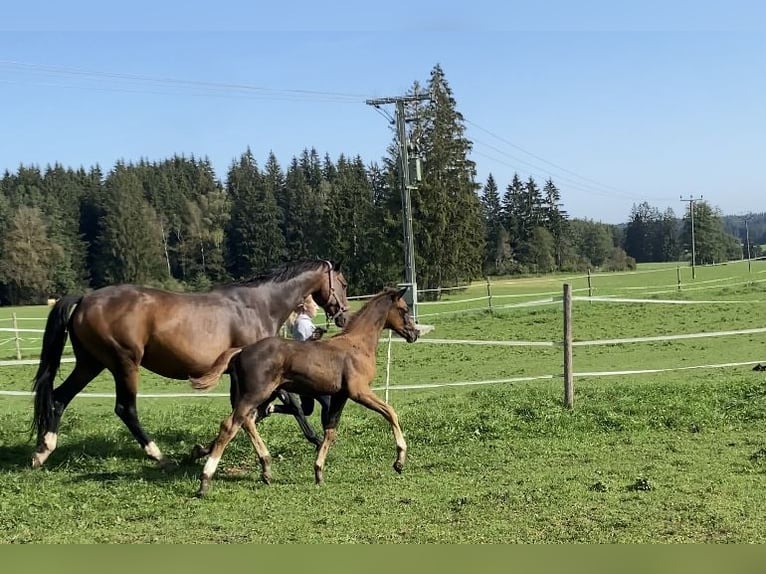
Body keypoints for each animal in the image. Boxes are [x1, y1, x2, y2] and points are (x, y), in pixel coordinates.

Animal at [30, 264, 352, 470]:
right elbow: (286, 407)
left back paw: (42, 452)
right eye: (344, 283)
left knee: (58, 398)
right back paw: (159, 457)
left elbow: (251, 413)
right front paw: (315, 440)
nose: (344, 317)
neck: (258, 305)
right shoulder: (261, 374)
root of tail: (85, 298)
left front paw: (201, 450)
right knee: (125, 409)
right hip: (124, 364)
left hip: (90, 363)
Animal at [192, 288, 420, 500]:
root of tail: (241, 351)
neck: (358, 345)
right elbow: (390, 412)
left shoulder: (340, 396)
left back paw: (265, 469)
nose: (414, 334)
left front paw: (318, 471)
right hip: (255, 393)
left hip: (258, 395)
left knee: (247, 420)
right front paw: (399, 461)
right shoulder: (359, 391)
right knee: (230, 425)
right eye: (404, 310)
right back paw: (205, 481)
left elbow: (330, 430)